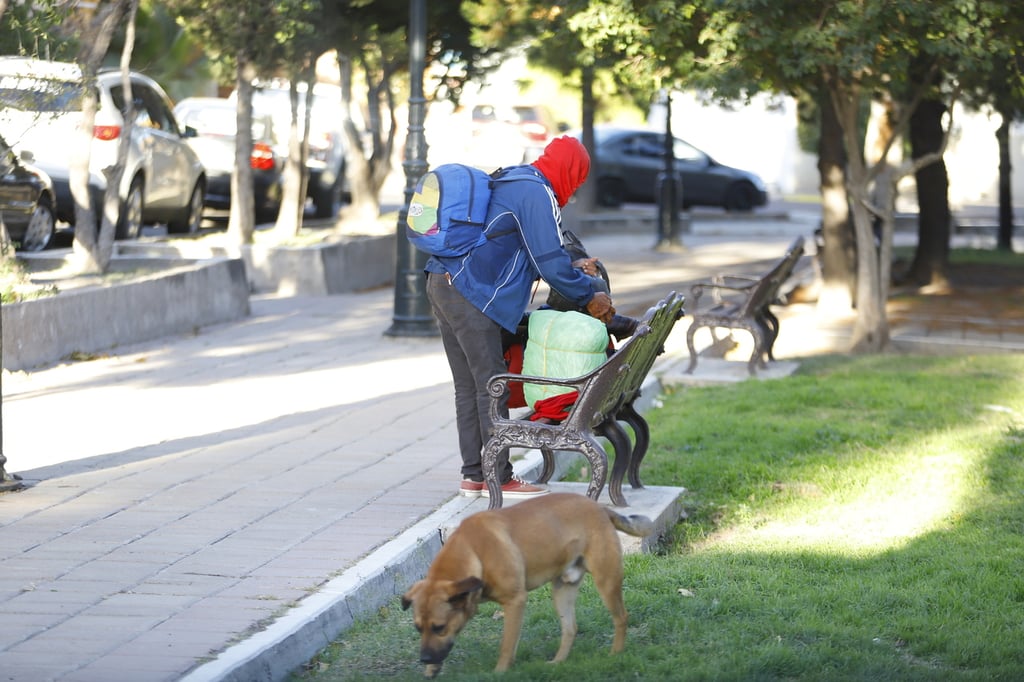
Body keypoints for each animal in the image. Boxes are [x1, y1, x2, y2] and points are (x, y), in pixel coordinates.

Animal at [399, 489, 655, 675]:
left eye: (439, 627)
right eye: (418, 628)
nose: (424, 659)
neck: (473, 551)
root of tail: (601, 508)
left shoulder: (515, 602)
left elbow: (506, 645)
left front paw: (499, 672)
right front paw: (432, 669)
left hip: (606, 580)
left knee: (621, 618)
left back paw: (616, 653)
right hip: (562, 590)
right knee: (570, 628)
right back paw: (558, 662)